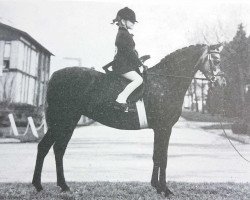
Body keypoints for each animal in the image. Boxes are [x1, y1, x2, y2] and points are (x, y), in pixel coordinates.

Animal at [32, 43, 226, 197]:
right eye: (216, 61)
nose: (222, 84)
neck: (166, 81)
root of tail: (55, 75)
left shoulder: (159, 129)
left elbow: (156, 156)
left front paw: (156, 187)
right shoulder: (164, 128)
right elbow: (162, 157)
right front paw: (165, 190)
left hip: (67, 122)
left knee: (54, 148)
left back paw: (57, 186)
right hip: (64, 120)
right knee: (50, 148)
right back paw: (44, 185)